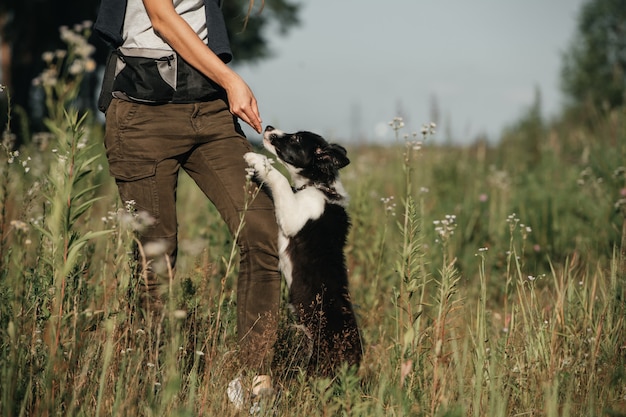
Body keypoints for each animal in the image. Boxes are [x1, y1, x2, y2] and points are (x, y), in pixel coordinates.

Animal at [244, 125, 360, 376]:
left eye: (296, 139)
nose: (268, 127)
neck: (319, 186)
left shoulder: (293, 217)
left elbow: (280, 180)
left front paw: (257, 160)